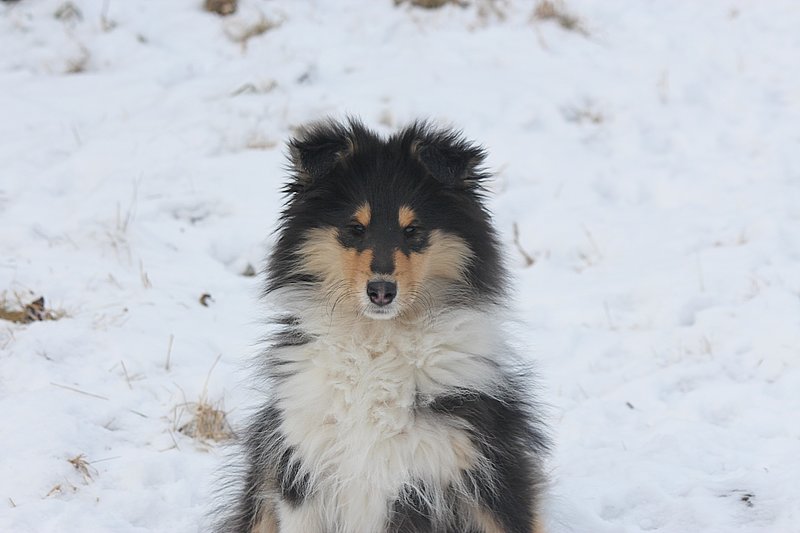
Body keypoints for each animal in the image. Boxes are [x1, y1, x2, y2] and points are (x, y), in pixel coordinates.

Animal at [214, 120, 552, 532]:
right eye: (354, 228)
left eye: (414, 230)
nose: (381, 292)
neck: (376, 344)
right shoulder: (301, 471)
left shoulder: (477, 472)